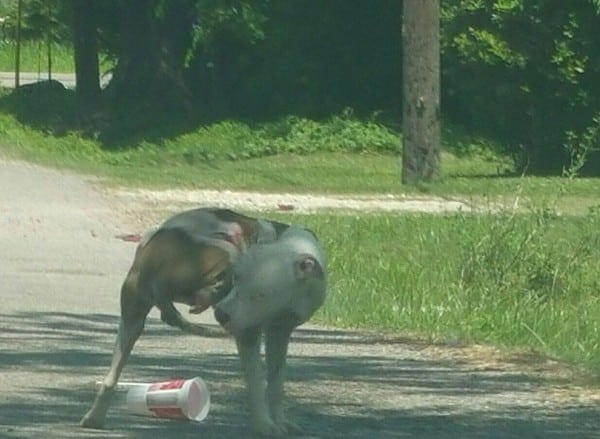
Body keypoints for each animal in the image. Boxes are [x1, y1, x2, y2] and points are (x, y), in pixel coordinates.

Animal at [79, 208, 328, 438]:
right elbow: (257, 380)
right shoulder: (248, 333)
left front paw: (280, 421)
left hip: (131, 318)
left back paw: (94, 416)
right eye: (237, 279)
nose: (221, 315)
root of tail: (150, 260)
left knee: (111, 375)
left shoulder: (281, 332)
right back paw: (210, 291)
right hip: (225, 247)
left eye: (260, 295)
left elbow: (276, 382)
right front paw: (264, 425)